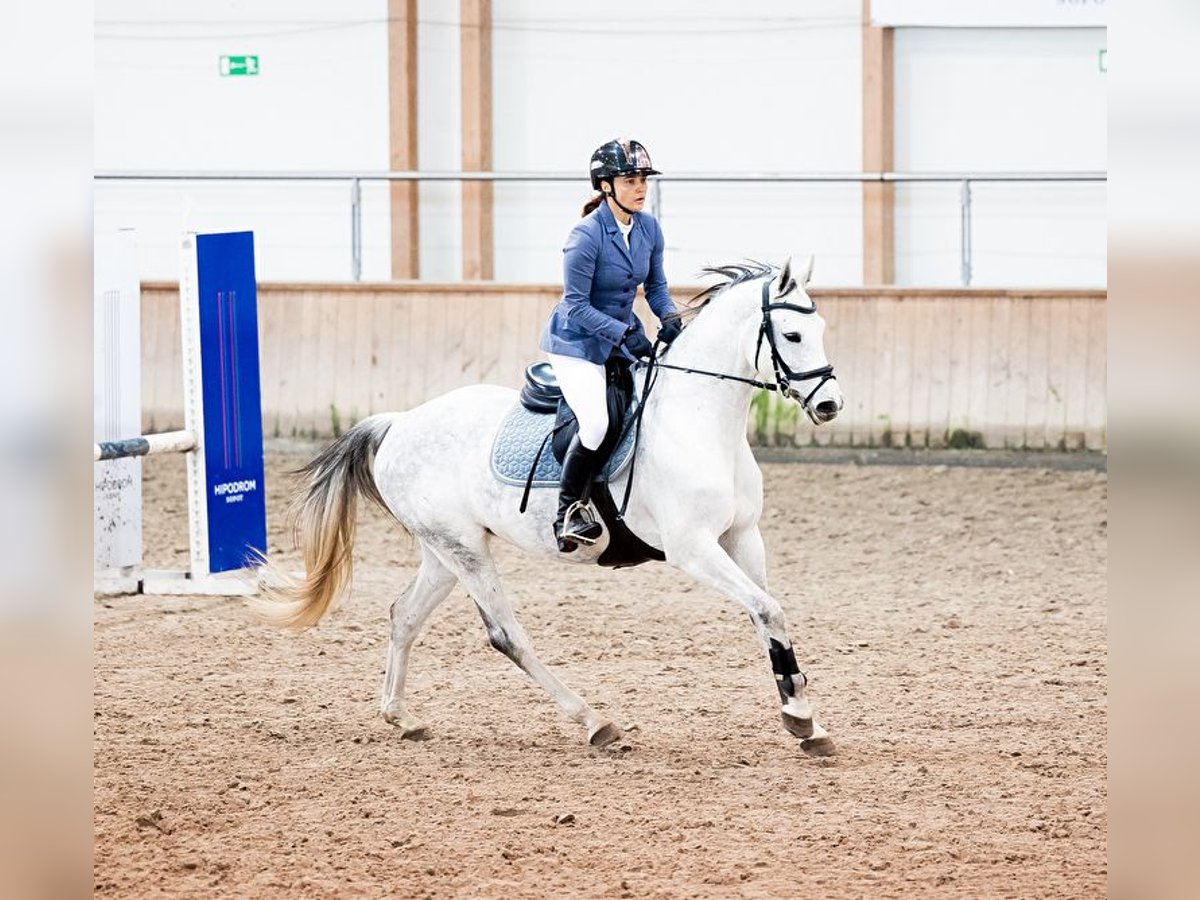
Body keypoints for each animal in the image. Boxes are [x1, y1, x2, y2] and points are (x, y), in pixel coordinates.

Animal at [260, 256, 844, 758]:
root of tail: (398, 422)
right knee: (506, 635)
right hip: (464, 550)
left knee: (404, 616)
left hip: (444, 552)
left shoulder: (742, 536)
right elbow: (766, 608)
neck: (698, 421)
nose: (830, 405)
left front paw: (803, 715)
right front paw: (799, 717)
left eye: (821, 329)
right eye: (792, 335)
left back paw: (402, 718)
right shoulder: (692, 548)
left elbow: (768, 611)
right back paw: (594, 721)